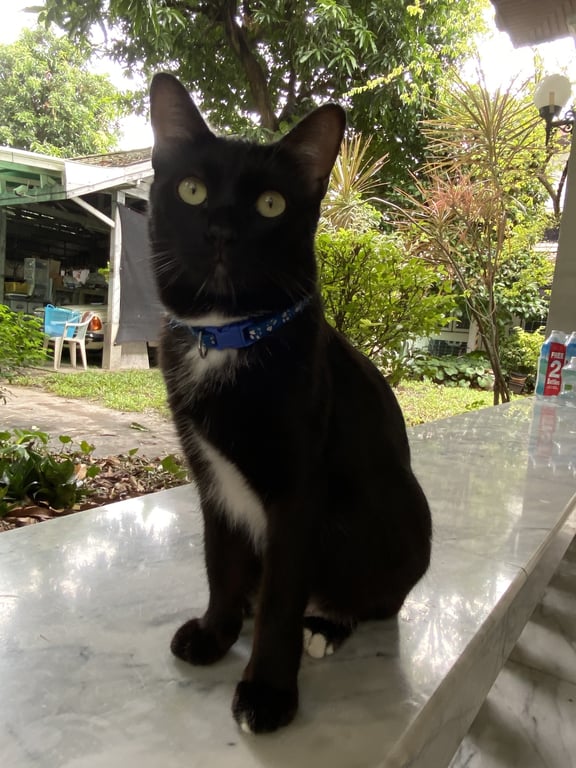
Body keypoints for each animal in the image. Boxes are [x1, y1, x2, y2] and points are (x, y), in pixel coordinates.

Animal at [148, 72, 432, 734]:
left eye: (270, 205)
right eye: (193, 190)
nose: (221, 231)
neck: (230, 335)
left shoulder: (300, 491)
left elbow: (282, 600)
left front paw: (268, 693)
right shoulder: (211, 477)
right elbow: (221, 561)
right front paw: (217, 632)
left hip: (404, 517)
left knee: (379, 599)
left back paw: (327, 622)